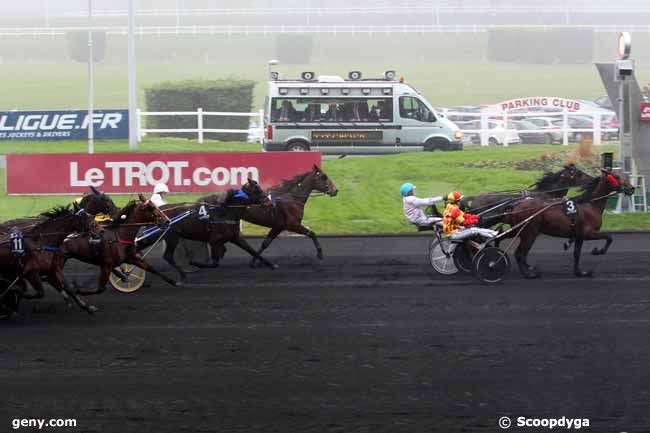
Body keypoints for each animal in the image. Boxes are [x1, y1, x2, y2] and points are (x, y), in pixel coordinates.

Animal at [139, 178, 276, 282]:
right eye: (257, 190)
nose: (270, 203)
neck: (225, 212)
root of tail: (159, 212)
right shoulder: (214, 241)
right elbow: (215, 263)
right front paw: (194, 262)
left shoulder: (235, 237)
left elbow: (252, 251)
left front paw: (272, 265)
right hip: (171, 237)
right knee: (166, 256)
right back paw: (182, 275)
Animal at [200, 165, 336, 266]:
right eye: (324, 177)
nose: (335, 190)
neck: (292, 199)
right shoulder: (292, 225)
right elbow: (312, 233)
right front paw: (320, 254)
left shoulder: (278, 226)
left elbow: (266, 243)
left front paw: (254, 261)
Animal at [502, 170, 632, 278]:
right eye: (617, 176)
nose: (632, 188)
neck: (590, 205)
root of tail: (516, 206)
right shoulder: (588, 233)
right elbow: (609, 237)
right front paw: (597, 251)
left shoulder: (579, 236)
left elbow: (577, 254)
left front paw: (580, 272)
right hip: (529, 233)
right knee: (519, 254)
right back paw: (528, 274)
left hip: (519, 231)